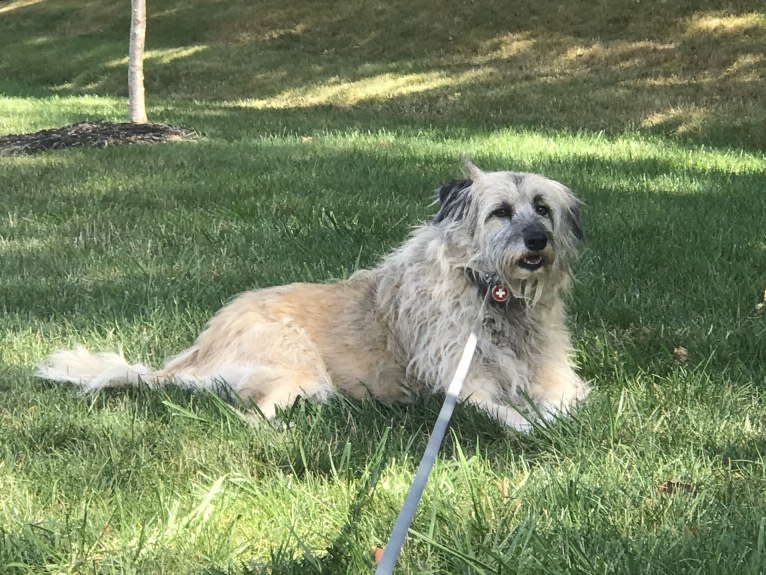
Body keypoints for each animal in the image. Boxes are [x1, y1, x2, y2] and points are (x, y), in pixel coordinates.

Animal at [34, 162, 588, 432]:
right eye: (500, 212)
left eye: (542, 207)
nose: (537, 241)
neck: (493, 294)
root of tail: (195, 351)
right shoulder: (466, 387)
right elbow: (524, 423)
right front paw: (540, 428)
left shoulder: (555, 377)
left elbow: (568, 406)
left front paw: (558, 420)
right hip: (297, 367)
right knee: (248, 419)